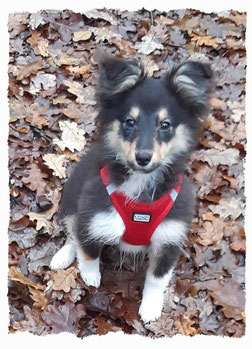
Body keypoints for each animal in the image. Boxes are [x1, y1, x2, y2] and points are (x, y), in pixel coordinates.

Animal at [49, 53, 213, 322]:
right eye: (129, 122)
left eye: (165, 124)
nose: (143, 157)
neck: (140, 186)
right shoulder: (93, 214)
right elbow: (88, 249)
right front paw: (91, 277)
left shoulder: (169, 237)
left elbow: (157, 278)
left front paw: (151, 307)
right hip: (72, 199)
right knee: (72, 232)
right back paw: (63, 256)